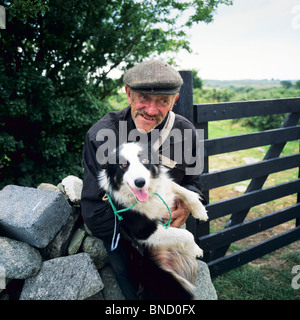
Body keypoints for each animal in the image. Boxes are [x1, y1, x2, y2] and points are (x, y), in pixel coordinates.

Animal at [98, 142, 209, 300]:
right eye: (123, 164)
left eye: (145, 160)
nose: (140, 182)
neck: (149, 196)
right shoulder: (144, 231)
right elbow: (187, 235)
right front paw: (196, 249)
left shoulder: (166, 187)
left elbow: (184, 190)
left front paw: (200, 211)